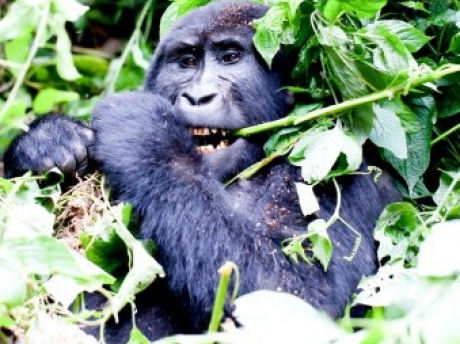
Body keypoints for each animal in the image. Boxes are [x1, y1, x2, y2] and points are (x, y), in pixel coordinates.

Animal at [2, 0, 398, 342]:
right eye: (187, 61)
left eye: (231, 58)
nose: (196, 96)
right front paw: (49, 139)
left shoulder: (342, 171)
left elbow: (304, 301)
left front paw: (147, 133)